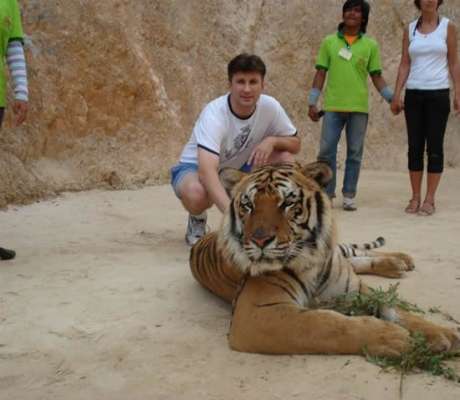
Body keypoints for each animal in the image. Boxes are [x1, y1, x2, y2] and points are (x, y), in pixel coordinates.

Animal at [189, 161, 458, 354]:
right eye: (248, 205)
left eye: (287, 203)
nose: (259, 241)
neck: (313, 261)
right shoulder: (256, 313)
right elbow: (325, 325)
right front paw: (394, 337)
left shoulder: (354, 288)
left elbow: (395, 308)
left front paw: (441, 334)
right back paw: (398, 264)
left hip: (341, 252)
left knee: (357, 252)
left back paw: (401, 260)